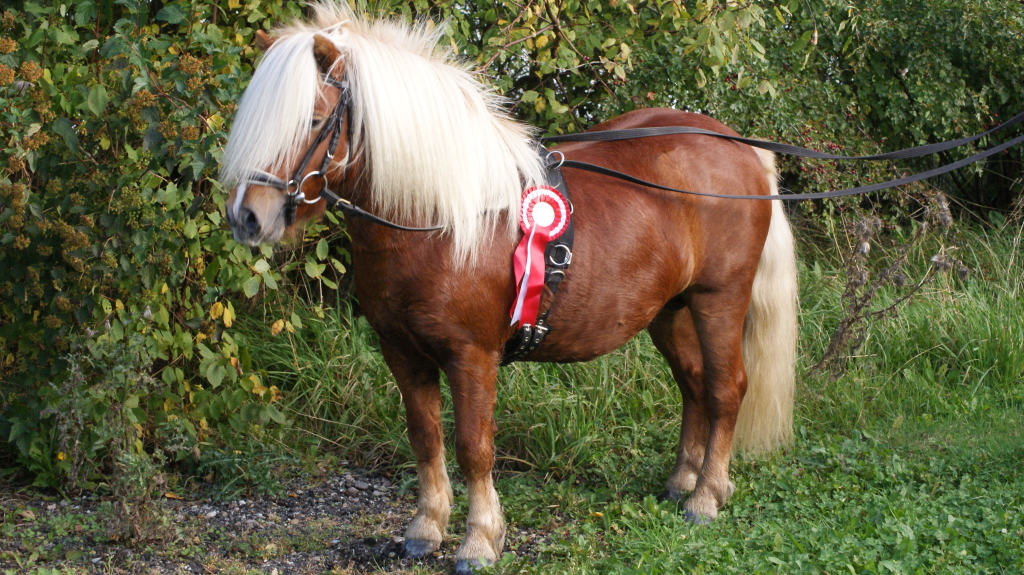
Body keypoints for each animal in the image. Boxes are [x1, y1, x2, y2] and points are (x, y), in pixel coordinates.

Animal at [222, 3, 798, 568]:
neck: (444, 218)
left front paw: (480, 540)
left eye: (314, 120)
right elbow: (424, 438)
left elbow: (473, 447)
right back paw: (682, 481)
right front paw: (426, 527)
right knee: (694, 384)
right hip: (669, 310)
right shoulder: (401, 352)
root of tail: (738, 147)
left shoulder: (471, 355)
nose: (247, 218)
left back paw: (706, 496)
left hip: (719, 300)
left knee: (725, 388)